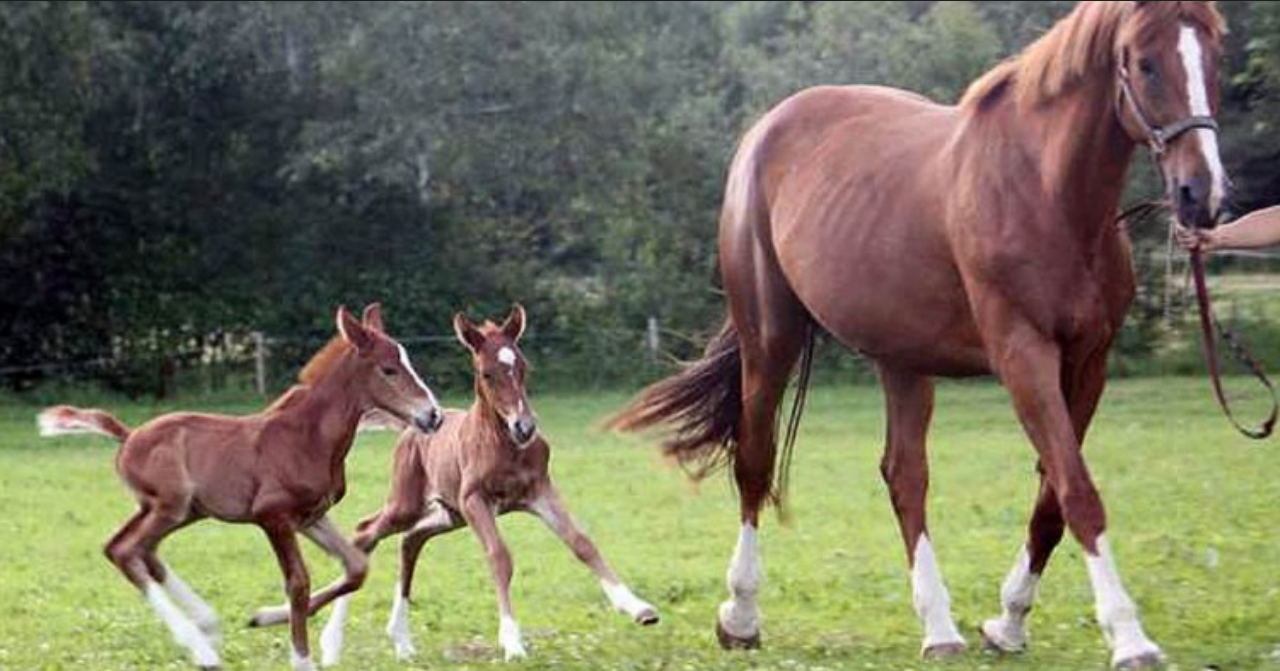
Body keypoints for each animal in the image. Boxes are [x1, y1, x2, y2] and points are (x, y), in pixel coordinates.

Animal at [37, 304, 445, 671]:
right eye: (388, 369)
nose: (433, 416)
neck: (307, 437)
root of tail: (129, 435)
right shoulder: (273, 516)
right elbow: (298, 583)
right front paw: (302, 660)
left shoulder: (311, 518)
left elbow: (356, 567)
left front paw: (263, 617)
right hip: (171, 506)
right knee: (126, 551)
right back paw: (202, 649)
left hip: (177, 510)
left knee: (135, 550)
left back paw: (208, 626)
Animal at [312, 304, 660, 665]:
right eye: (486, 373)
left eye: (523, 366)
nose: (524, 427)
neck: (505, 446)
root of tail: (411, 428)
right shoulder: (474, 499)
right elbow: (499, 556)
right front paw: (513, 642)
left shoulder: (540, 491)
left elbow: (582, 542)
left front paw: (638, 607)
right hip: (410, 503)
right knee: (366, 532)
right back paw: (332, 643)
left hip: (449, 515)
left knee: (411, 540)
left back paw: (401, 640)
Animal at [611, 2, 1228, 665]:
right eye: (1145, 62)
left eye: (1215, 54)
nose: (1202, 193)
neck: (1043, 193)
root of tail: (767, 130)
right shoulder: (1023, 355)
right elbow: (1077, 489)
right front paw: (1130, 637)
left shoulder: (1089, 363)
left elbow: (1052, 497)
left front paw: (1009, 623)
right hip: (770, 338)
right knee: (756, 460)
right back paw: (742, 616)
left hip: (901, 358)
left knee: (905, 477)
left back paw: (939, 628)